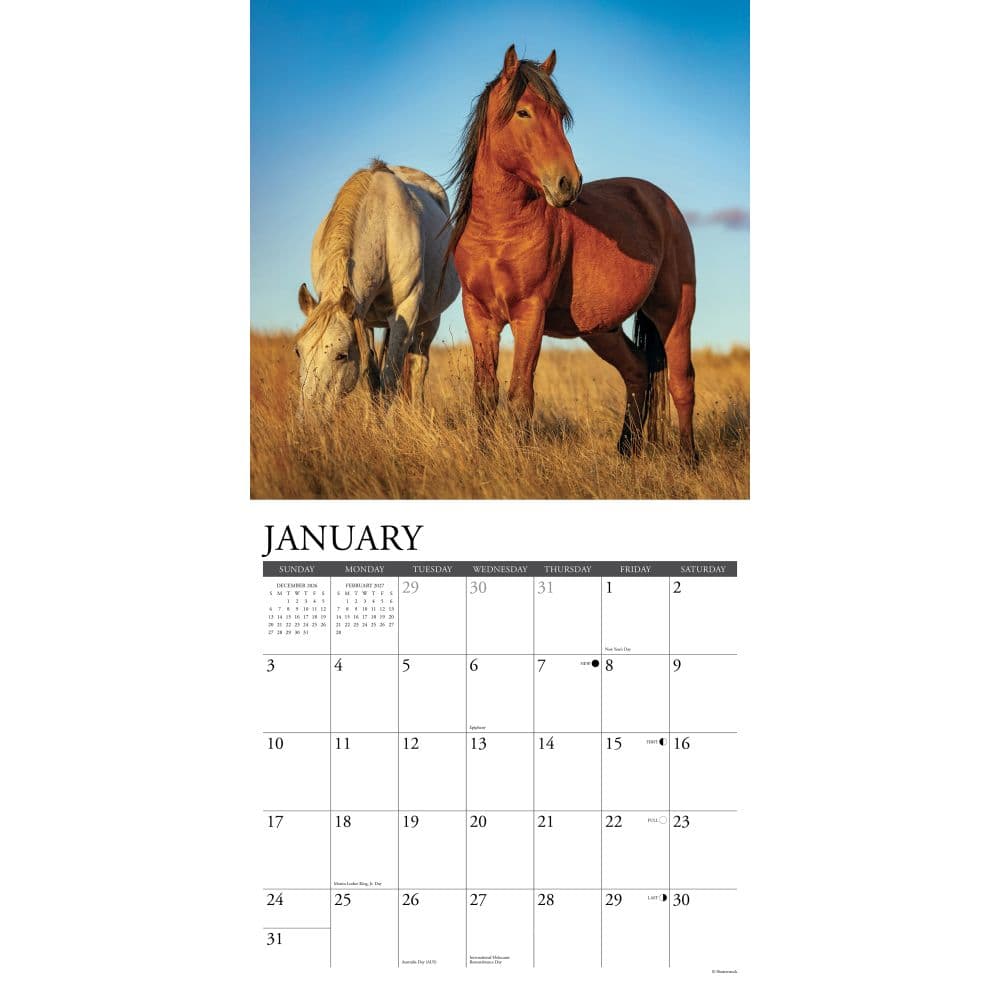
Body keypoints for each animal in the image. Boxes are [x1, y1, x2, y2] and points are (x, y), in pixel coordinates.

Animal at [295, 159, 460, 411]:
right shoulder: (362, 318)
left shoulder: (405, 311)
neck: (382, 230)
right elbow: (371, 377)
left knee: (418, 366)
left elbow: (391, 379)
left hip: (429, 321)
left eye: (341, 355)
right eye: (298, 351)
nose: (309, 415)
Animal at [446, 46, 697, 460]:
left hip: (674, 314)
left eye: (560, 116)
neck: (499, 233)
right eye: (523, 112)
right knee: (637, 371)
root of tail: (663, 204)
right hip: (602, 329)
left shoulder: (530, 313)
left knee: (681, 383)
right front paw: (482, 456)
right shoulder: (478, 313)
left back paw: (688, 459)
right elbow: (484, 393)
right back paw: (625, 452)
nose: (569, 183)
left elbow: (521, 394)